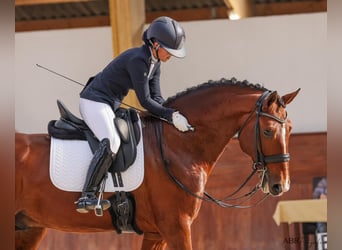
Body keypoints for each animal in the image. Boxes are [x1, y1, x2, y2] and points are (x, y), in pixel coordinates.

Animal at [15, 77, 300, 249]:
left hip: (28, 227)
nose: (281, 186)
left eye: (290, 129)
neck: (178, 144)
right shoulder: (177, 227)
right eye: (268, 132)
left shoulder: (157, 232)